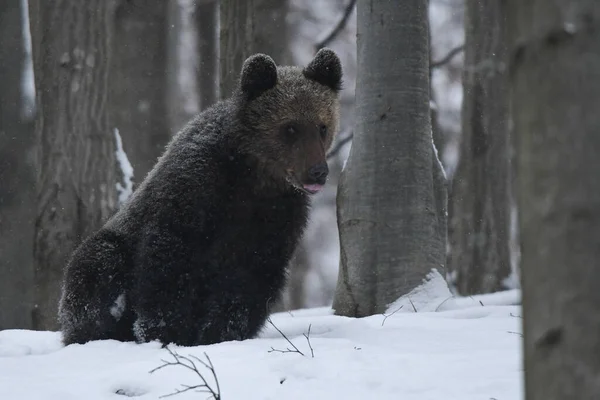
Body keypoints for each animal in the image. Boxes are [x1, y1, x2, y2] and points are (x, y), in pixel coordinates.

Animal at [59, 48, 344, 346]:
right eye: (290, 127)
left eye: (322, 126)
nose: (318, 172)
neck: (253, 177)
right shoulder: (192, 194)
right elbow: (168, 267)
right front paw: (163, 332)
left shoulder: (275, 221)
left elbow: (247, 284)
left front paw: (221, 333)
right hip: (110, 249)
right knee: (97, 270)